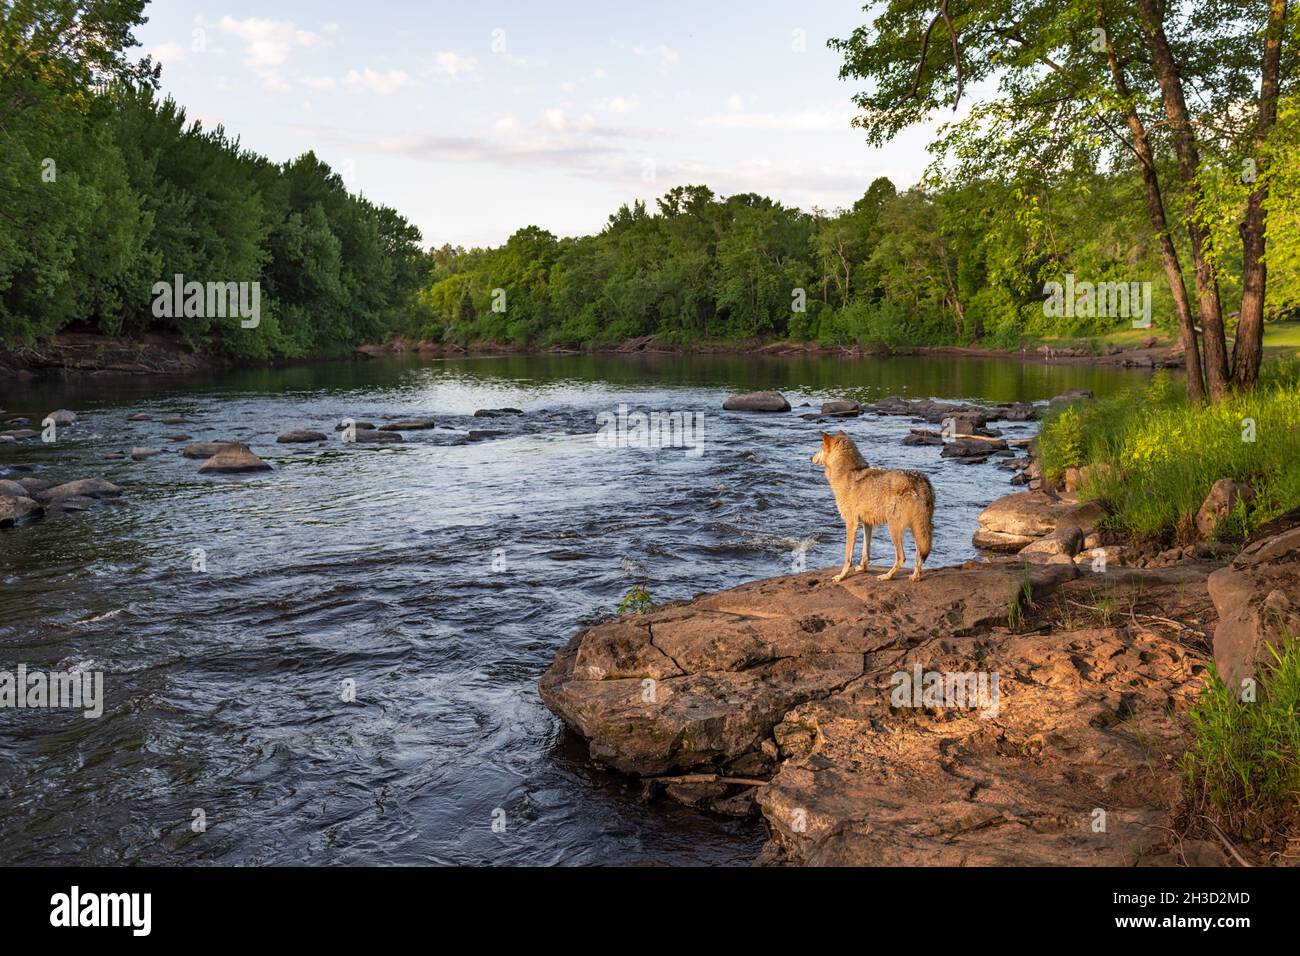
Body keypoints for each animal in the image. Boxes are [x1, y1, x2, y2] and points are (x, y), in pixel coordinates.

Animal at [811, 431, 935, 583]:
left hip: (894, 528)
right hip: (917, 529)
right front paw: (862, 568)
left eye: (819, 448)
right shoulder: (867, 523)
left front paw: (841, 576)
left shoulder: (851, 523)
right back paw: (915, 577)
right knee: (919, 555)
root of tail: (921, 480)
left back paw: (887, 576)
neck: (847, 472)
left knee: (902, 557)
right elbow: (866, 551)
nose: (810, 457)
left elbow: (847, 556)